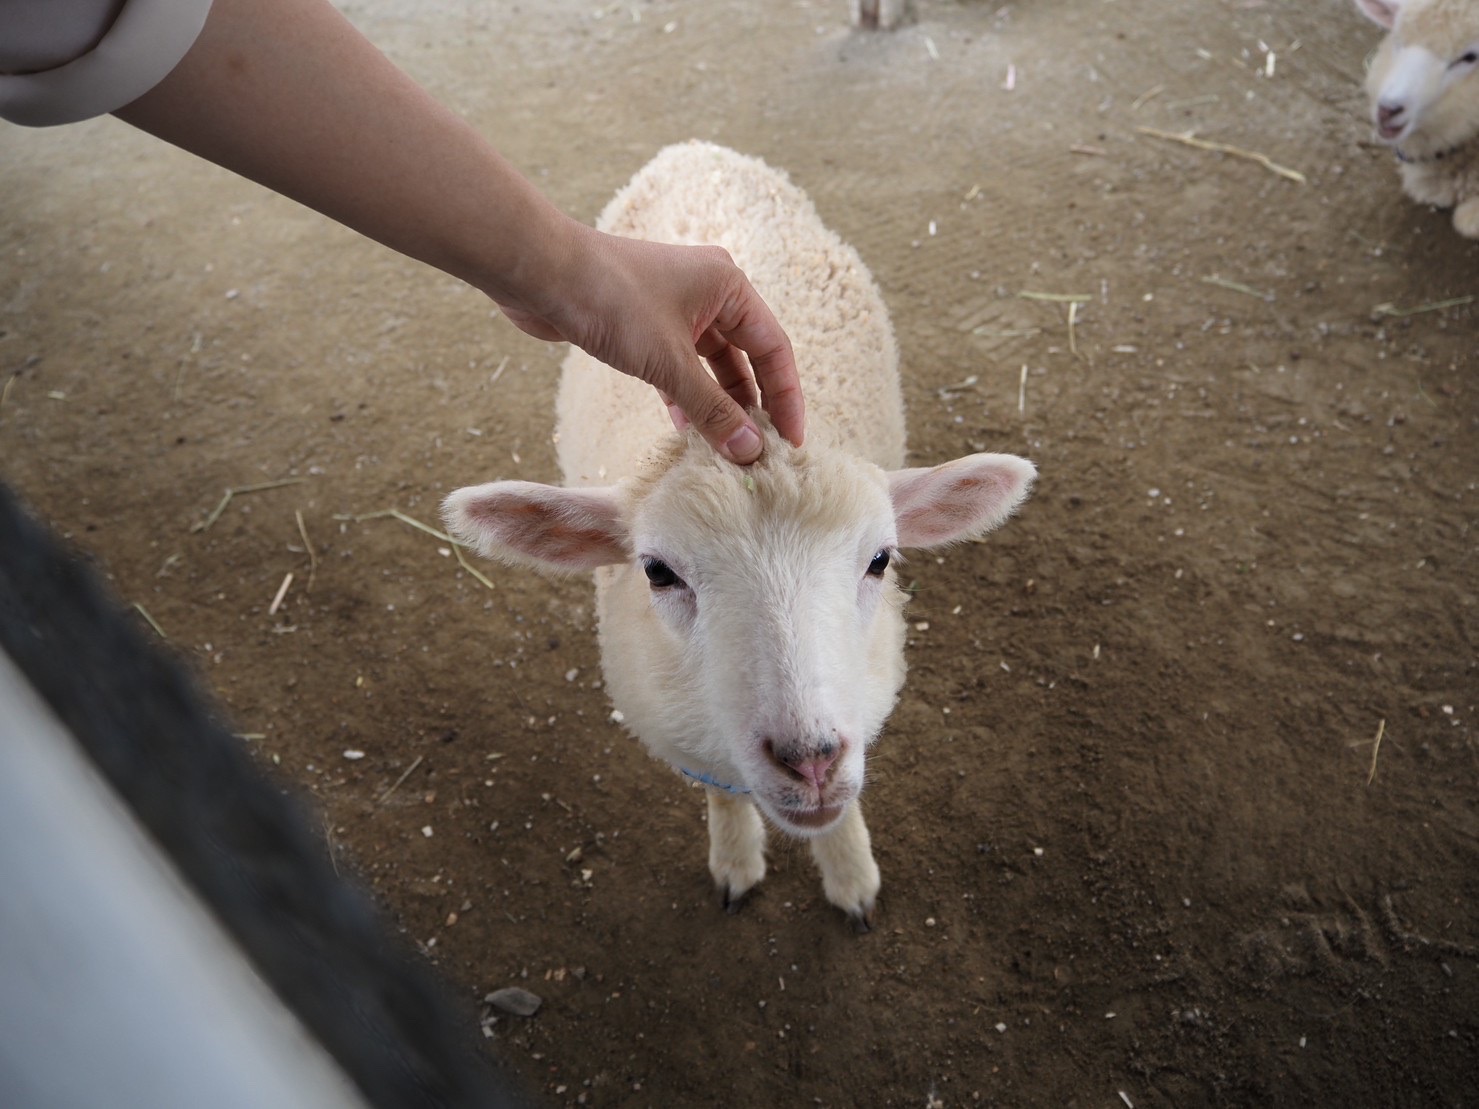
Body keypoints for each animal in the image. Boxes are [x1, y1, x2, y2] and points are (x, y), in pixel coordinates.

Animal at [443, 143, 1035, 934]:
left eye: (880, 559)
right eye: (657, 572)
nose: (809, 761)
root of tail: (696, 150)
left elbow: (844, 812)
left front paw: (851, 874)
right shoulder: (688, 737)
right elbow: (724, 794)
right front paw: (736, 860)